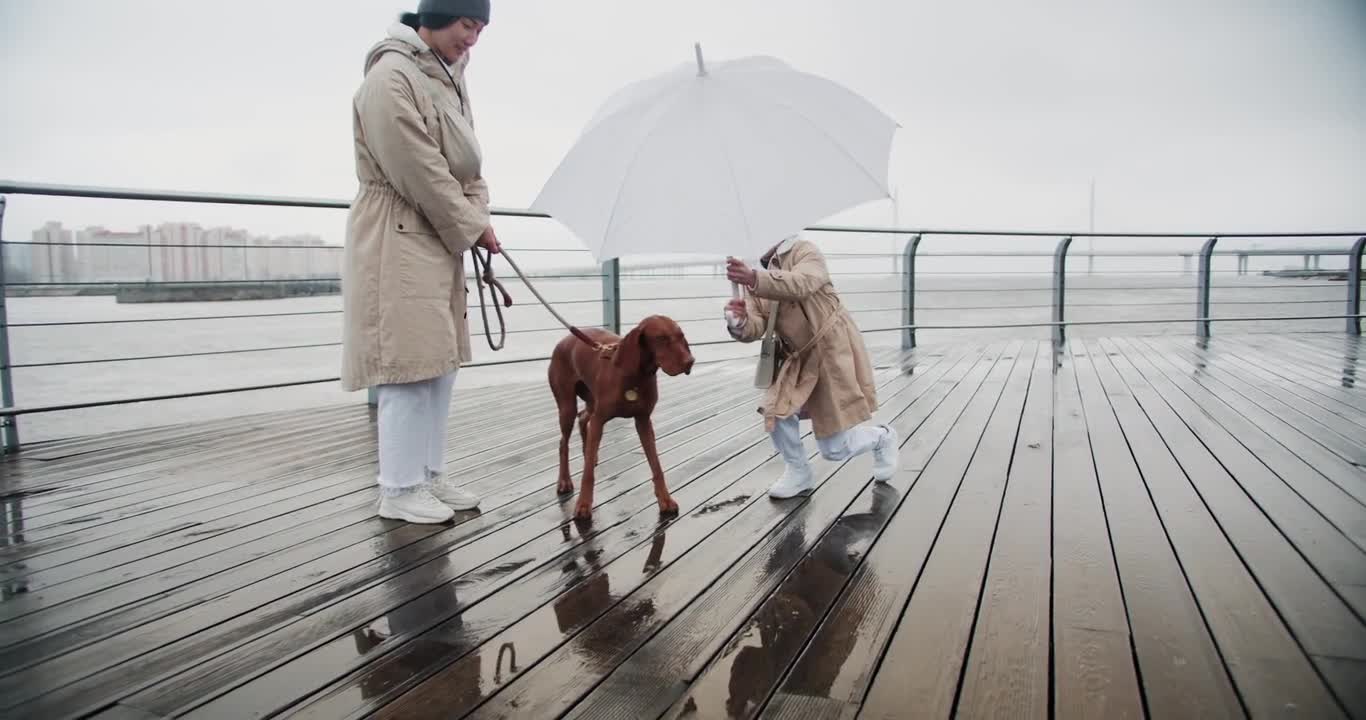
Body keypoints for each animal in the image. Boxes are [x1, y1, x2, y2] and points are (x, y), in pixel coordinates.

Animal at [546, 312, 693, 521]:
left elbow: (656, 466)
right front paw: (583, 505)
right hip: (567, 407)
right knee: (563, 442)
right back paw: (564, 480)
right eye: (661, 339)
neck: (635, 376)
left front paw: (665, 500)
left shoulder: (643, 421)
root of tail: (565, 339)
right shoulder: (600, 420)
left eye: (681, 336)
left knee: (583, 418)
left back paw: (590, 453)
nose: (690, 361)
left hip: (591, 400)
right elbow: (588, 475)